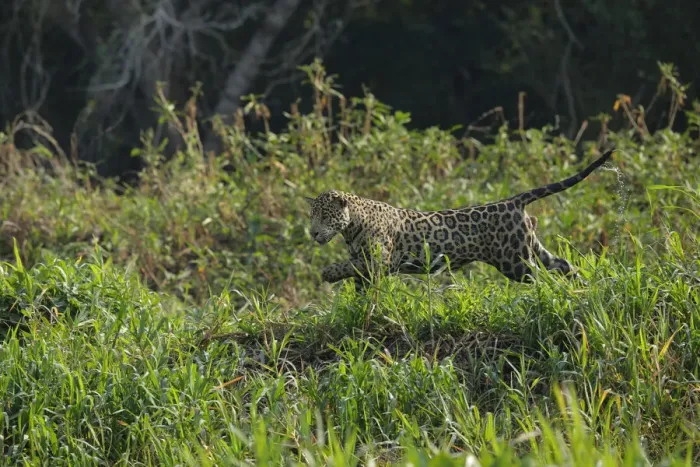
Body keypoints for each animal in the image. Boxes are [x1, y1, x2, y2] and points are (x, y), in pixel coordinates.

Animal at [305, 149, 615, 291]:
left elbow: (349, 265)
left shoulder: (380, 260)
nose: (313, 233)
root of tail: (513, 201)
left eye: (325, 215)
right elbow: (358, 279)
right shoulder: (369, 267)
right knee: (563, 265)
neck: (352, 226)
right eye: (312, 216)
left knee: (542, 278)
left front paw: (328, 273)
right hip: (529, 247)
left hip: (515, 261)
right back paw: (583, 288)